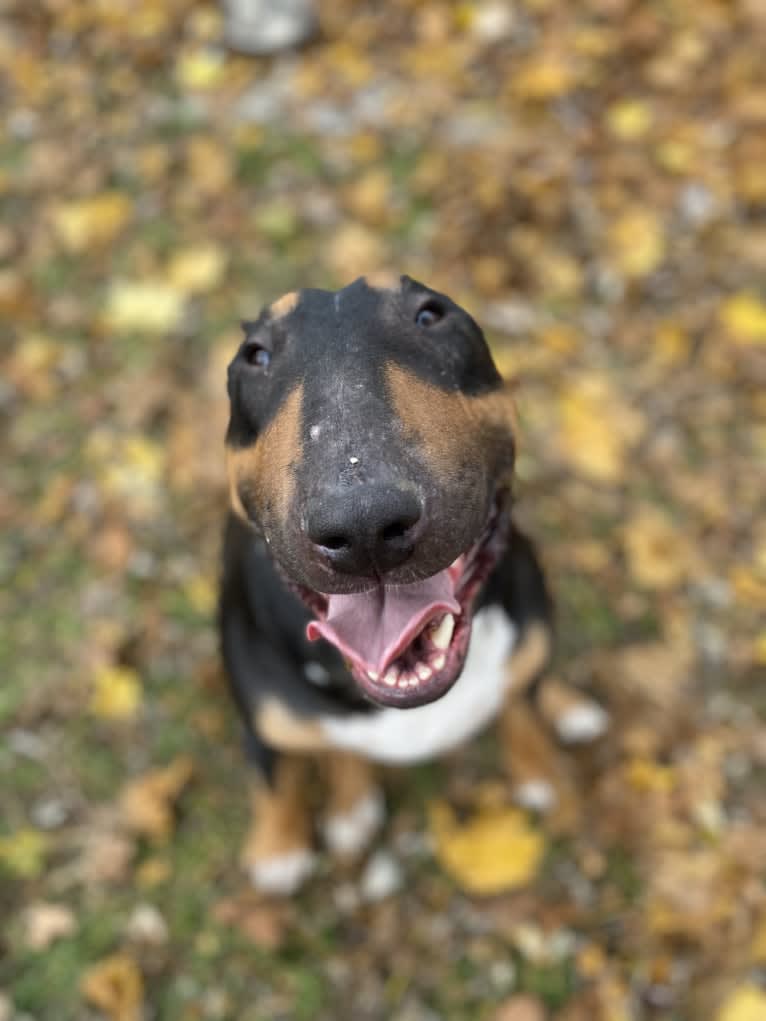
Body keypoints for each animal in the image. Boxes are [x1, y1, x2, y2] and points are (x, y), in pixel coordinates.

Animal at [218, 273, 608, 894]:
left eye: (430, 316)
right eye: (255, 355)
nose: (364, 526)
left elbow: (522, 712)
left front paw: (543, 774)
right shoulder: (264, 717)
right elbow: (277, 780)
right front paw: (279, 846)